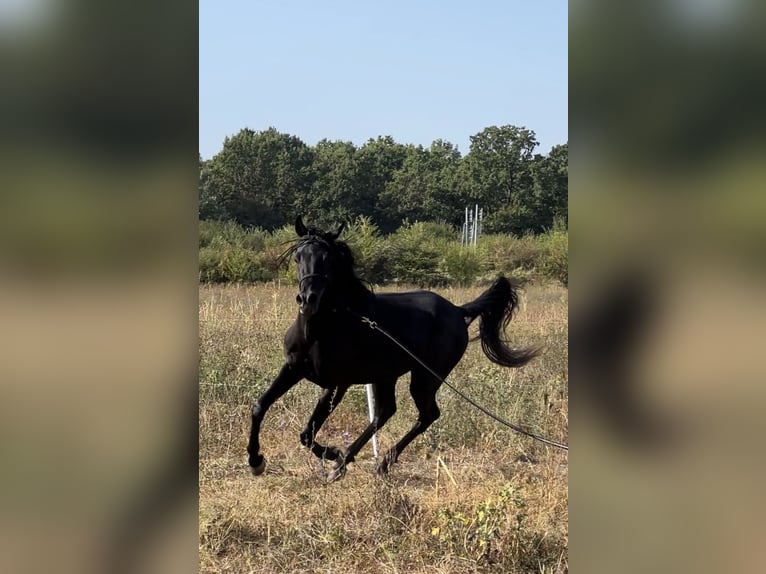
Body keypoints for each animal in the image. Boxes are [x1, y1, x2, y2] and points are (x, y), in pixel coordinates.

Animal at [249, 218, 536, 484]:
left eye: (327, 259)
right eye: (298, 256)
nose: (308, 299)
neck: (320, 330)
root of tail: (458, 310)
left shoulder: (336, 385)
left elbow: (307, 433)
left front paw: (332, 453)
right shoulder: (292, 369)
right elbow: (260, 407)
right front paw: (255, 461)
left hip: (425, 378)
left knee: (427, 414)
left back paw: (363, 463)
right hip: (385, 376)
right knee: (385, 412)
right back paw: (358, 462)